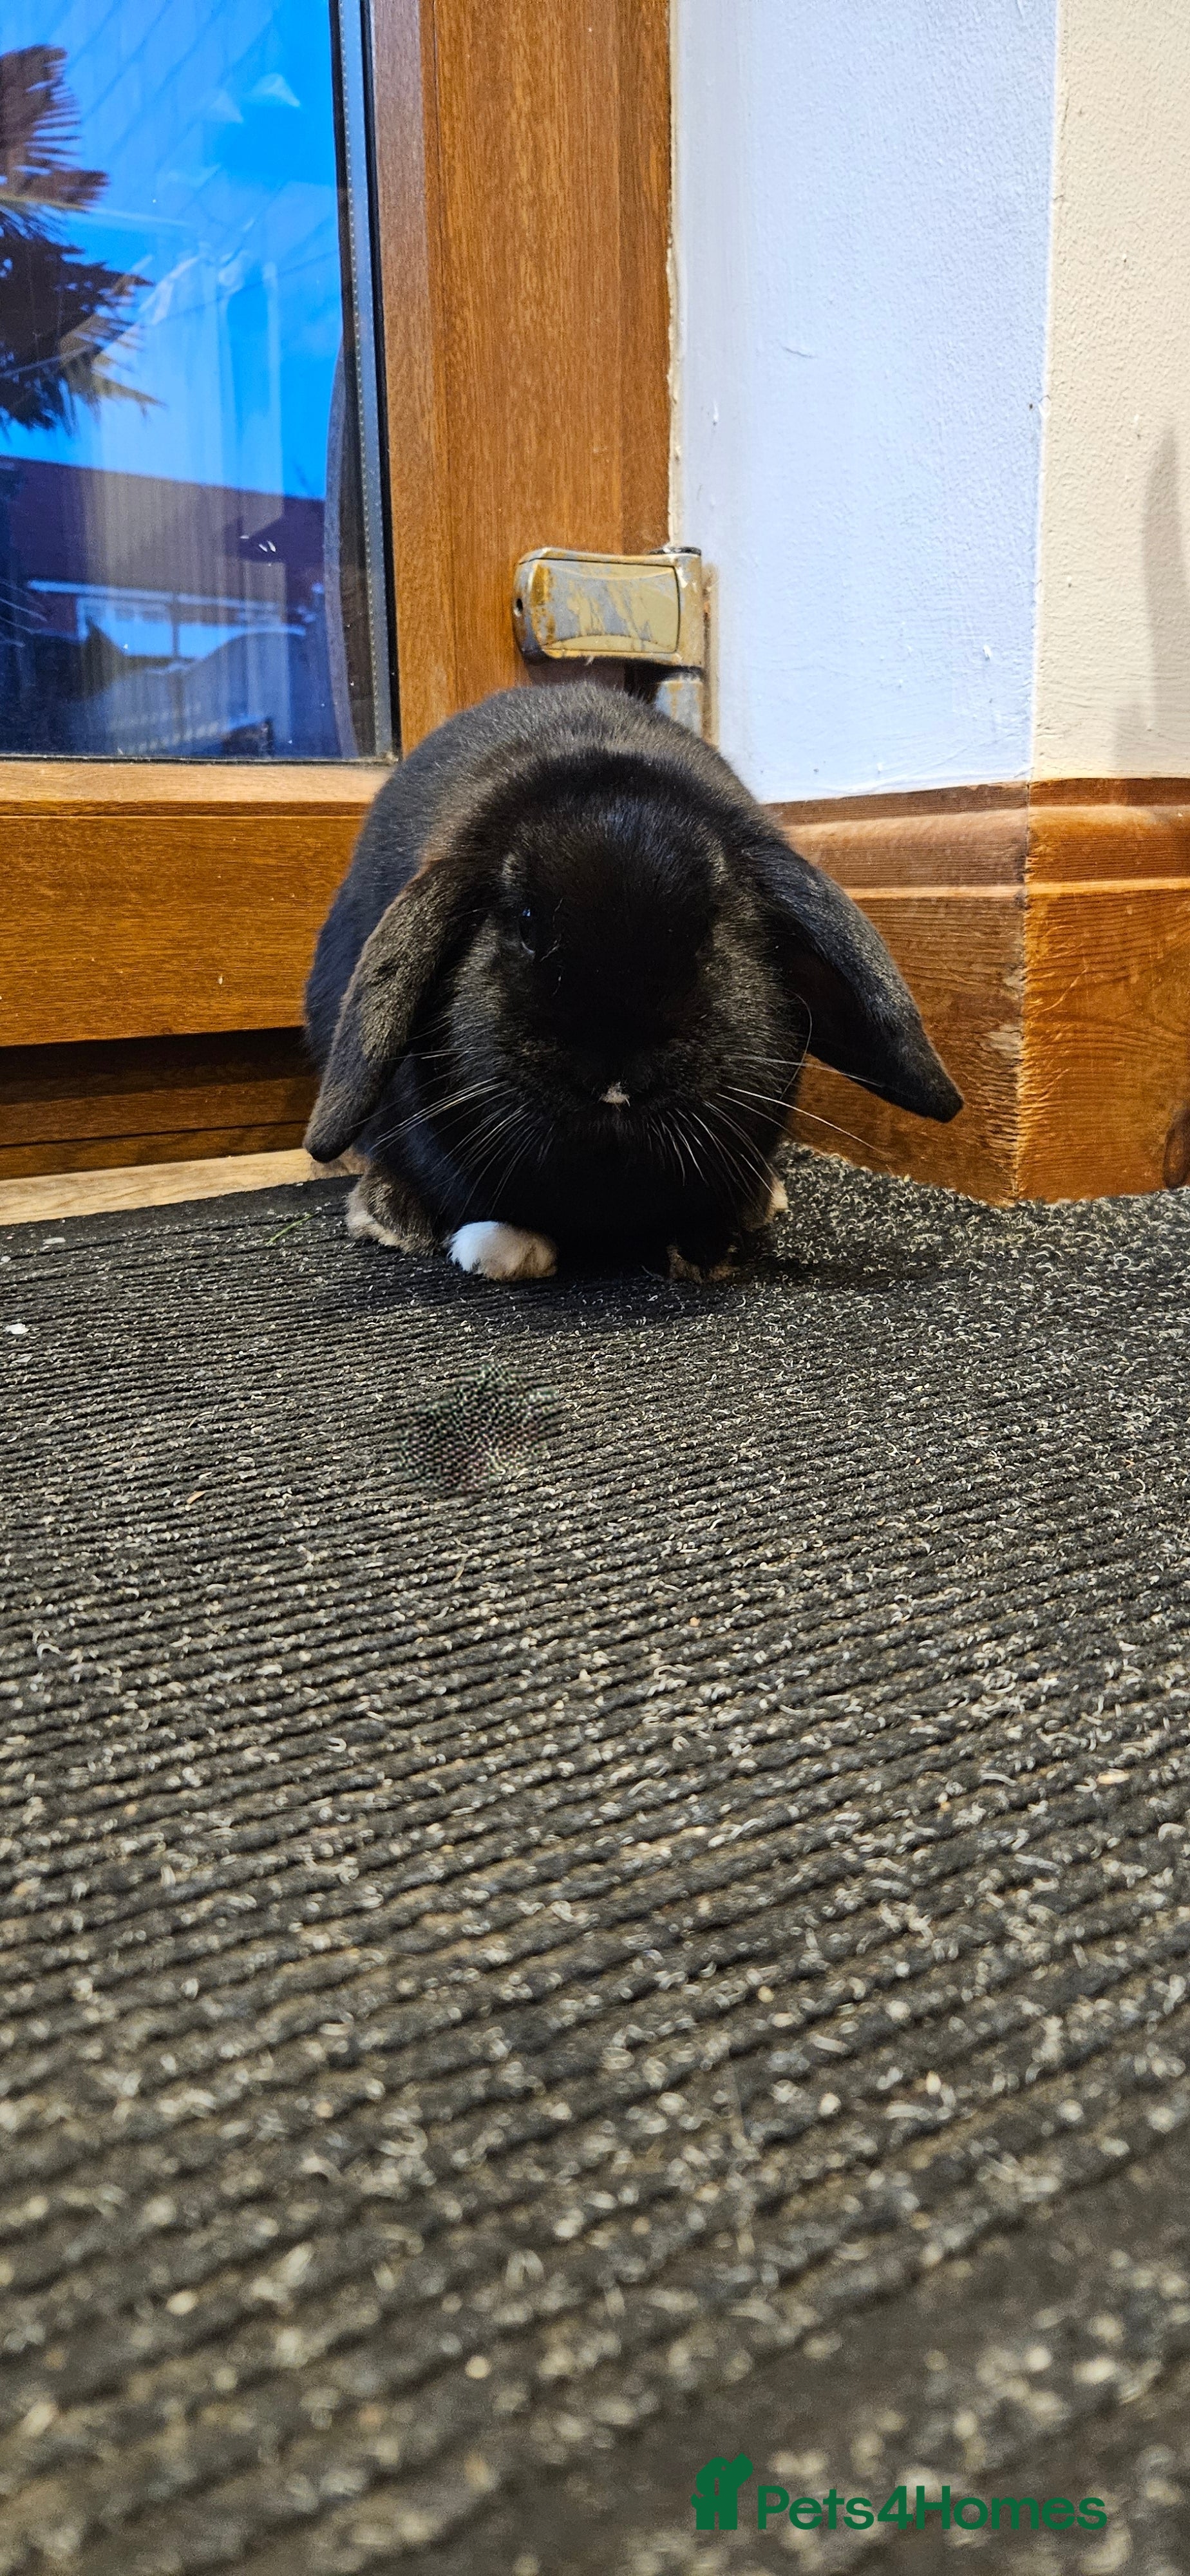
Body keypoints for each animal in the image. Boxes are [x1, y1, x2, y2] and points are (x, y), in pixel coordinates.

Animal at [304, 683, 961, 1281]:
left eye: (706, 926)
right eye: (526, 924)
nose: (615, 1076)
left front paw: (705, 1250)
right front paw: (506, 1250)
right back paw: (390, 1213)